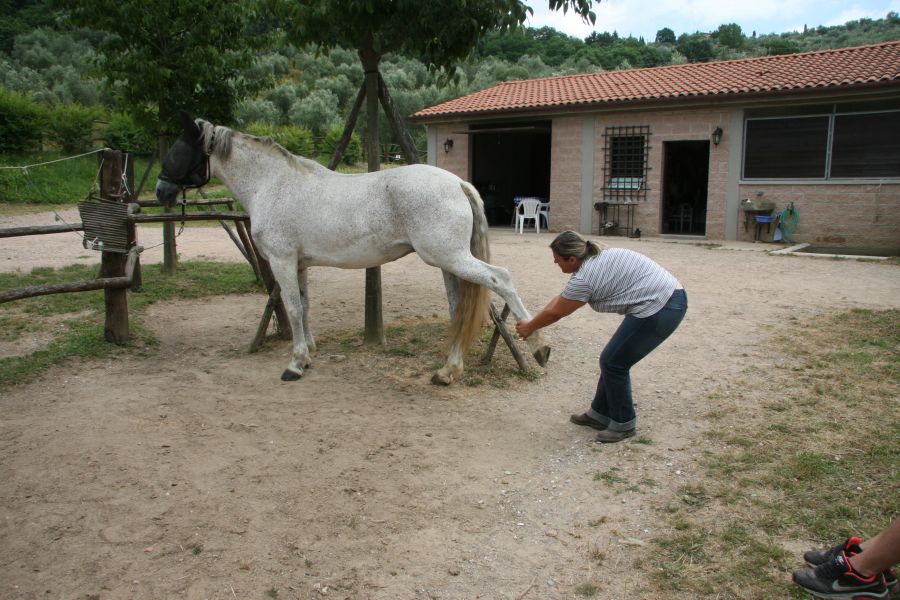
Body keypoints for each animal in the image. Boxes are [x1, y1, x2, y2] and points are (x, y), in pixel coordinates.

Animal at [156, 112, 548, 384]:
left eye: (177, 150)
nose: (161, 192)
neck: (273, 184)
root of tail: (457, 183)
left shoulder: (282, 261)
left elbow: (293, 309)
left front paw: (295, 364)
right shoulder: (298, 264)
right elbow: (304, 306)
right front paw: (308, 354)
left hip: (451, 258)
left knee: (500, 279)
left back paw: (539, 348)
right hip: (449, 263)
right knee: (458, 310)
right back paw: (447, 371)